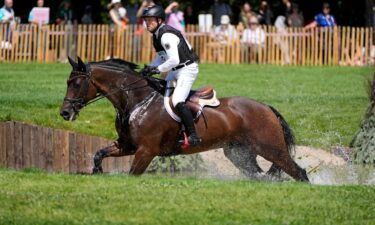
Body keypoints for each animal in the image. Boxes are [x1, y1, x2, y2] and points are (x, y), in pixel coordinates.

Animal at [60, 57, 310, 182]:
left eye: (76, 83)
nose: (64, 113)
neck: (137, 102)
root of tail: (266, 108)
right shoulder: (127, 146)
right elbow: (99, 154)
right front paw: (97, 172)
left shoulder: (146, 151)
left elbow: (132, 175)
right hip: (239, 153)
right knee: (259, 175)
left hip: (271, 149)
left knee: (299, 172)